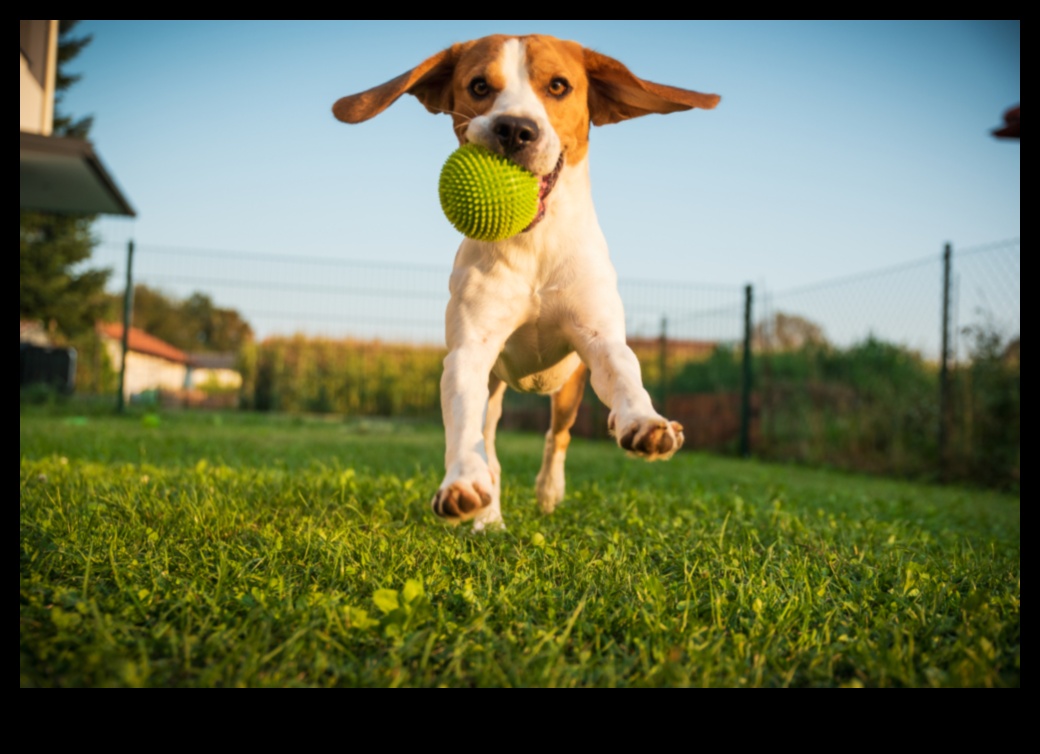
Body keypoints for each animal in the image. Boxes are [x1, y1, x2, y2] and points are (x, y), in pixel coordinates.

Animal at [336, 33, 719, 530]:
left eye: (558, 86)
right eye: (479, 86)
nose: (515, 129)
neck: (533, 244)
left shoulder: (598, 338)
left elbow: (624, 375)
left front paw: (644, 422)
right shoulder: (470, 352)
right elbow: (465, 427)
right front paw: (463, 485)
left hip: (570, 388)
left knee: (558, 437)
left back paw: (551, 491)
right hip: (496, 388)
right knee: (491, 444)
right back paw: (489, 516)